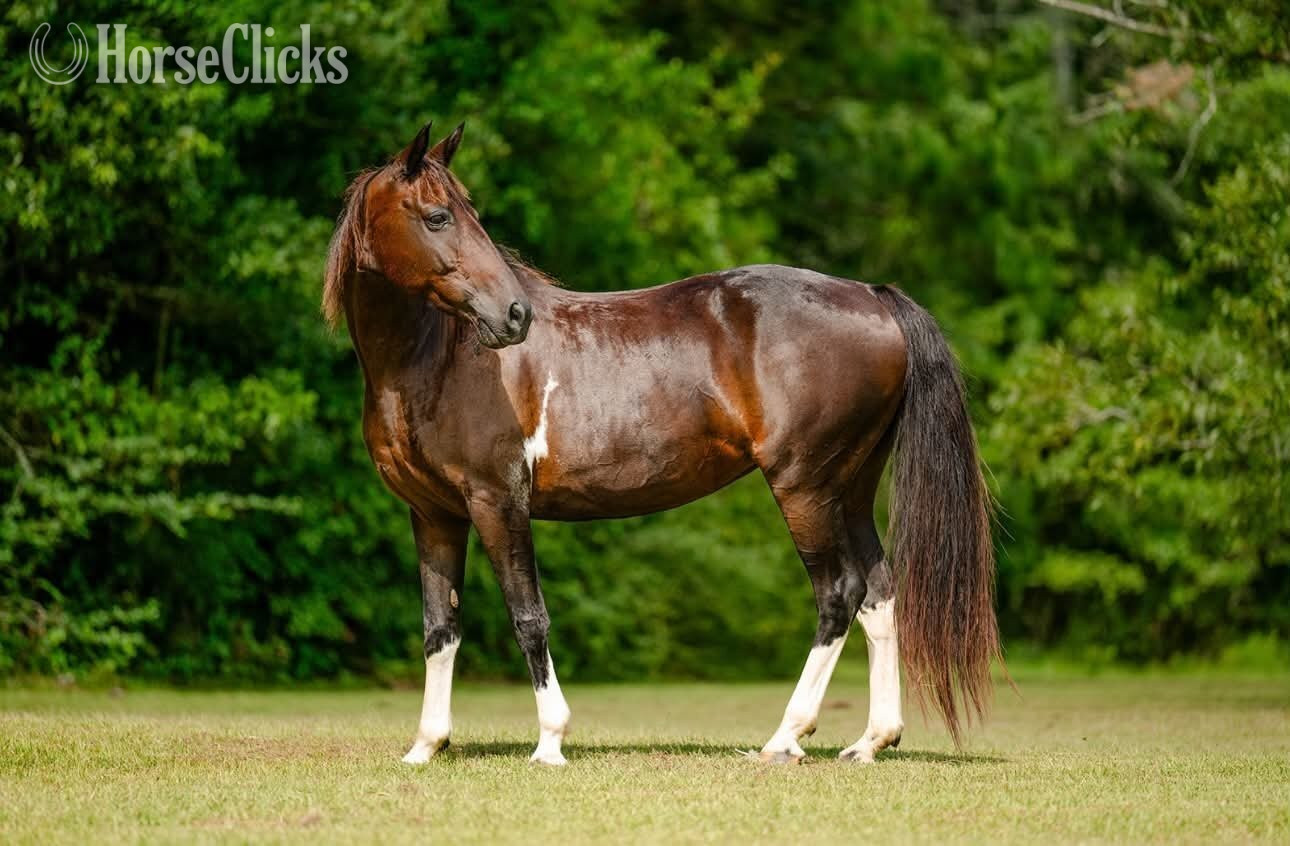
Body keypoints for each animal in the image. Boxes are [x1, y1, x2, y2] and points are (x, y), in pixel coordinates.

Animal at [324, 122, 1001, 766]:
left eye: (467, 213)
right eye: (438, 216)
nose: (515, 316)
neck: (436, 358)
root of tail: (870, 296)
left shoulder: (498, 501)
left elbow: (528, 618)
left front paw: (550, 742)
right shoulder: (434, 514)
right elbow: (440, 628)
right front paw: (426, 745)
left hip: (805, 487)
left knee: (838, 595)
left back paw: (786, 737)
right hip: (851, 490)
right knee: (880, 595)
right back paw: (871, 741)